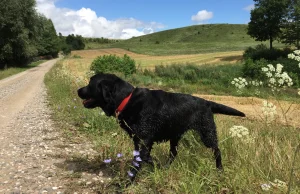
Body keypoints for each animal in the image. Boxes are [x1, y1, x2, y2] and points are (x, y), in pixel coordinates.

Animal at [78, 73, 246, 182]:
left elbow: (141, 160)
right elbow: (144, 158)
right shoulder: (138, 141)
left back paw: (220, 170)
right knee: (174, 153)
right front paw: (157, 168)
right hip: (175, 135)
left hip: (207, 133)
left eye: (90, 83)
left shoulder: (145, 140)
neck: (126, 99)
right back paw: (167, 167)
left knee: (217, 151)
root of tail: (207, 102)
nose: (78, 90)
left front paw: (127, 183)